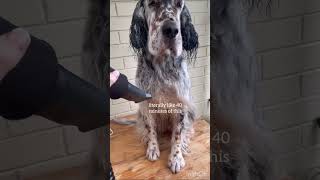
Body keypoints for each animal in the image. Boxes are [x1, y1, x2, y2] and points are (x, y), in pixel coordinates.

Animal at [127, 0, 198, 173]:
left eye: (179, 4)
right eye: (153, 3)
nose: (171, 30)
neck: (162, 64)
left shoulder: (181, 104)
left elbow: (178, 134)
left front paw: (176, 157)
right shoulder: (146, 104)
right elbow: (150, 129)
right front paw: (152, 148)